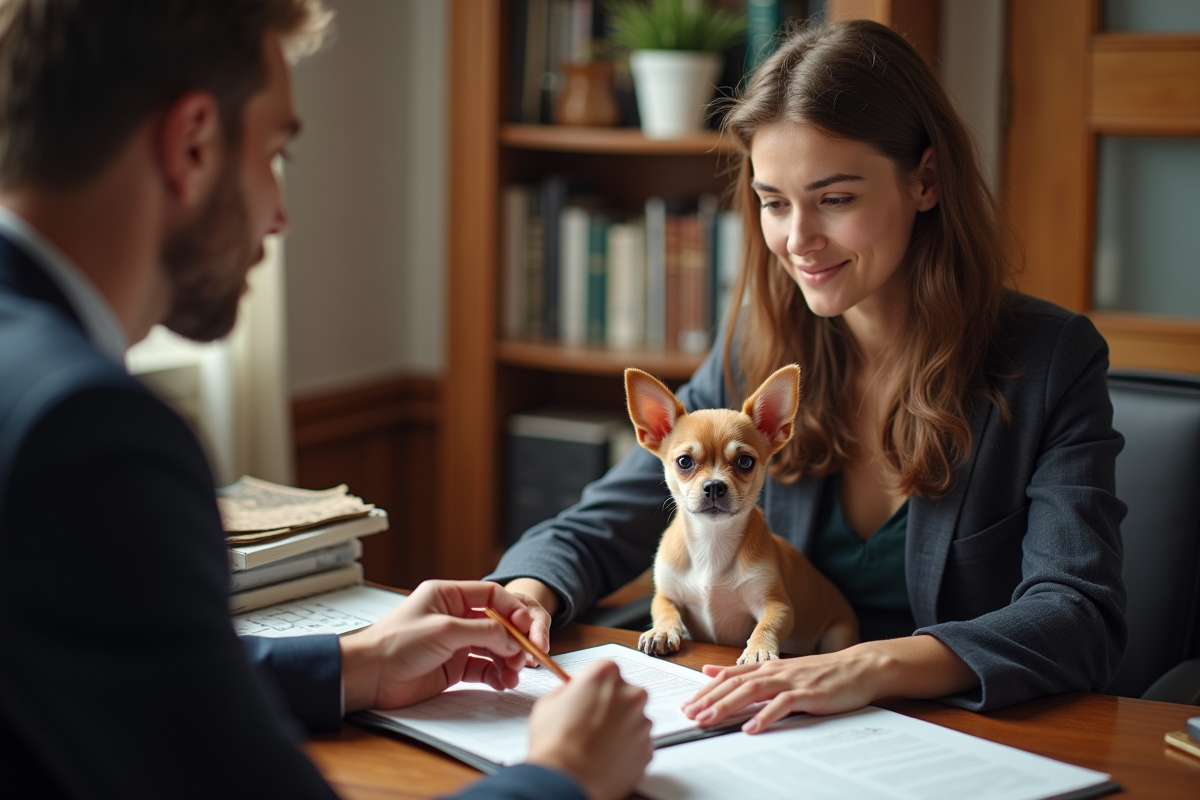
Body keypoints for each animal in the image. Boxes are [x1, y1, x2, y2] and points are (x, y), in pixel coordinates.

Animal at [628, 364, 854, 662]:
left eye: (745, 462)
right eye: (684, 462)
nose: (714, 486)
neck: (712, 541)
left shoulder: (775, 603)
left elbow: (767, 624)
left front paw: (758, 651)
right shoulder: (666, 593)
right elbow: (664, 609)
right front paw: (663, 631)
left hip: (837, 635)